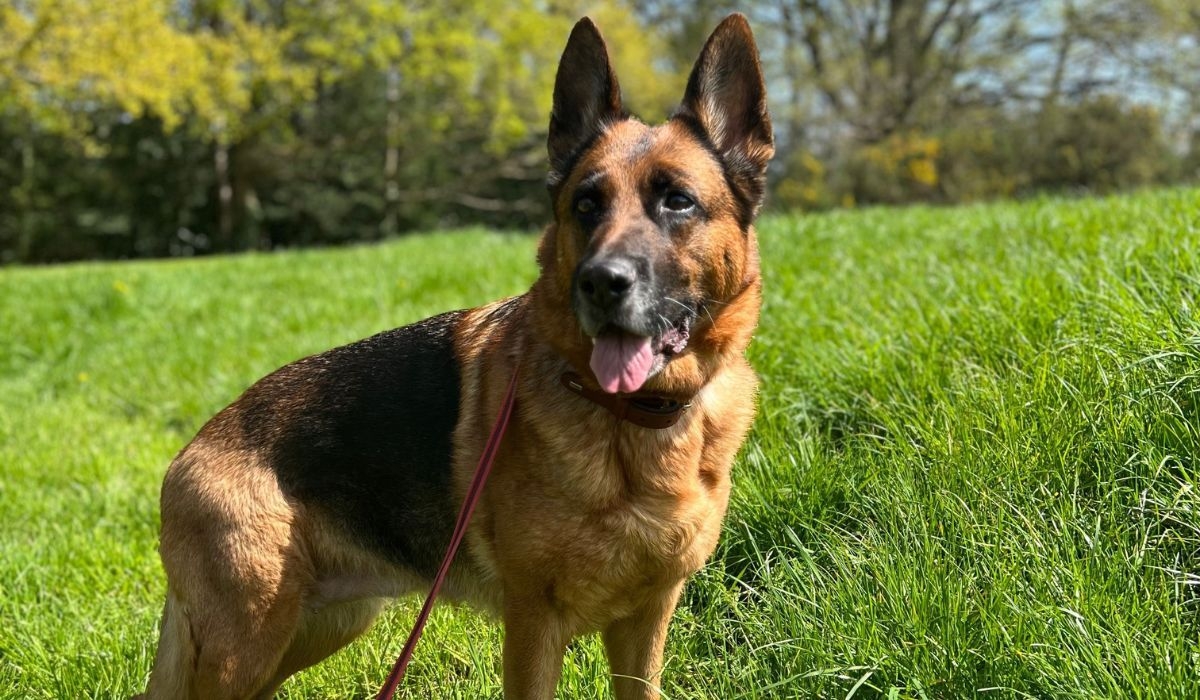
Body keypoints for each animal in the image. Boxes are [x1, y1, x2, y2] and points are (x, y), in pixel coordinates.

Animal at [140, 12, 772, 700]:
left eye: (677, 201)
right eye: (586, 205)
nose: (601, 283)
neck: (634, 422)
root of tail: (190, 451)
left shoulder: (645, 622)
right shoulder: (534, 625)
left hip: (317, 628)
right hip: (249, 644)